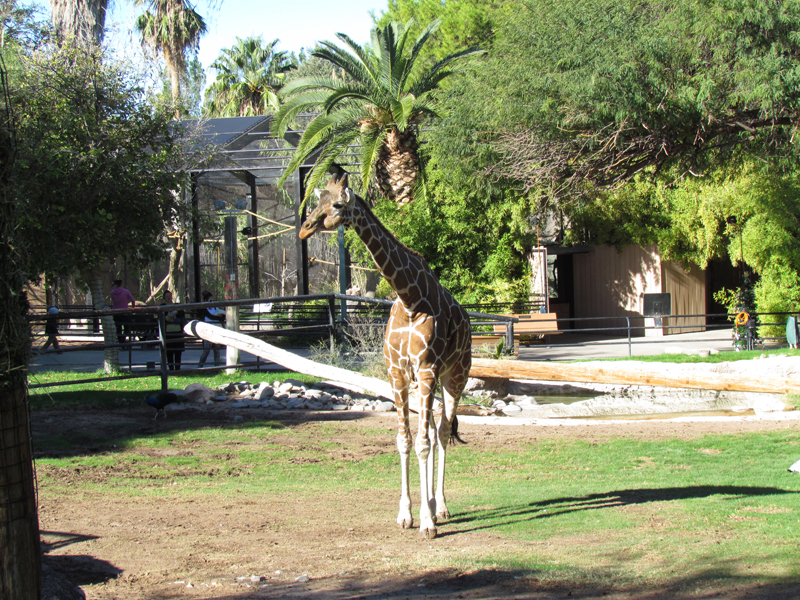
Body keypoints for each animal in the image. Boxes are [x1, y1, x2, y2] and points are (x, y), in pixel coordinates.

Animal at [300, 174, 472, 539]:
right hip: (431, 381)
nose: (304, 229)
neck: (409, 298)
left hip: (455, 375)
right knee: (433, 429)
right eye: (318, 199)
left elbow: (422, 443)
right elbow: (404, 441)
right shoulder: (398, 374)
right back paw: (432, 504)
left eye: (338, 204)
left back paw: (441, 507)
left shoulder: (426, 370)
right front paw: (406, 514)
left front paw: (426, 523)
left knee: (442, 433)